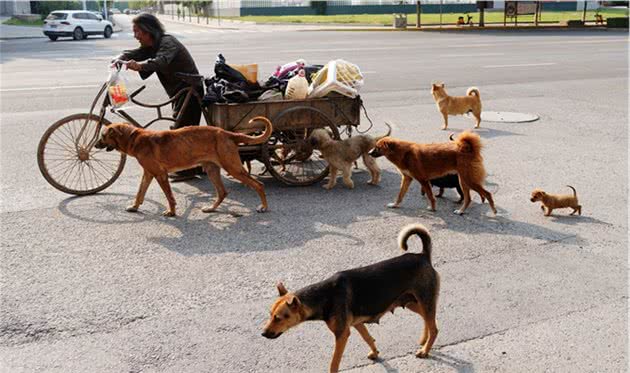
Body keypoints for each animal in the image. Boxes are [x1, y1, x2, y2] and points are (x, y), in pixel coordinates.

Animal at [95, 115, 272, 215]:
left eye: (102, 136)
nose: (95, 145)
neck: (134, 138)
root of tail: (227, 133)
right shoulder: (148, 173)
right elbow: (140, 192)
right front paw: (134, 207)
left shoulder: (160, 175)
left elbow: (169, 197)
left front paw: (171, 212)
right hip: (212, 169)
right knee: (222, 192)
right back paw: (211, 208)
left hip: (232, 168)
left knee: (259, 185)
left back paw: (264, 207)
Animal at [262, 224, 440, 372]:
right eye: (270, 315)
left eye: (278, 318)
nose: (263, 334)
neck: (324, 296)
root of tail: (423, 256)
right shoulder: (357, 324)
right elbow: (368, 338)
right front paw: (375, 352)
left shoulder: (342, 335)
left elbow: (334, 363)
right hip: (412, 302)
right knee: (428, 320)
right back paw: (424, 340)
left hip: (425, 301)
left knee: (434, 328)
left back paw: (425, 350)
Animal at [370, 132, 498, 215]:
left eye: (377, 147)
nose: (369, 152)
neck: (403, 153)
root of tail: (467, 148)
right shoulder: (407, 178)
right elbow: (400, 195)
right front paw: (395, 205)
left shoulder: (423, 180)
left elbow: (430, 196)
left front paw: (432, 208)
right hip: (463, 181)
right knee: (468, 199)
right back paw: (461, 211)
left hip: (468, 179)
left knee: (487, 194)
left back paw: (493, 211)